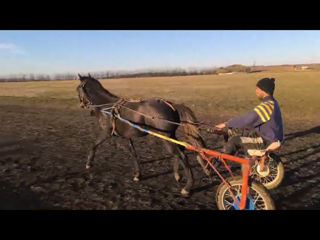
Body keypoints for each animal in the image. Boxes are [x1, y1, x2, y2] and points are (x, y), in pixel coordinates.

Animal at [76, 74, 209, 196]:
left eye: (78, 89)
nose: (82, 105)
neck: (107, 108)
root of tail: (171, 105)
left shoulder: (107, 132)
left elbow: (94, 145)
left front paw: (89, 163)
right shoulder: (125, 137)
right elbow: (133, 153)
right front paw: (137, 174)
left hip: (165, 137)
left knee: (181, 155)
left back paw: (187, 187)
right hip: (171, 136)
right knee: (179, 151)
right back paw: (177, 175)